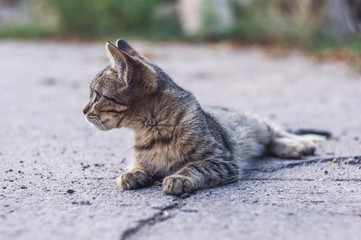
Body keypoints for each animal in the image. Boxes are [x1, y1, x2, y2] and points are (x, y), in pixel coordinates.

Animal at [82, 39, 316, 196]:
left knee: (274, 131)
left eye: (97, 96)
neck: (151, 128)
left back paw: (299, 144)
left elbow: (196, 166)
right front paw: (132, 173)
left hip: (255, 125)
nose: (83, 110)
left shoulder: (221, 159)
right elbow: (138, 164)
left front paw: (179, 177)